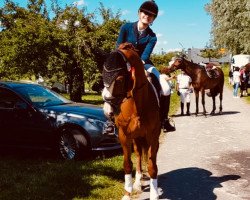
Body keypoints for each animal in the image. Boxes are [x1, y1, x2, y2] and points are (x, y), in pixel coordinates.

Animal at [102, 42, 161, 200]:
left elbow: (152, 165)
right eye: (103, 77)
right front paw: (127, 193)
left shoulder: (153, 136)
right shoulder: (124, 136)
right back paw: (138, 183)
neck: (137, 103)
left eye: (119, 80)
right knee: (139, 155)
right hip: (136, 138)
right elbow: (127, 164)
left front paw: (154, 194)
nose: (107, 110)